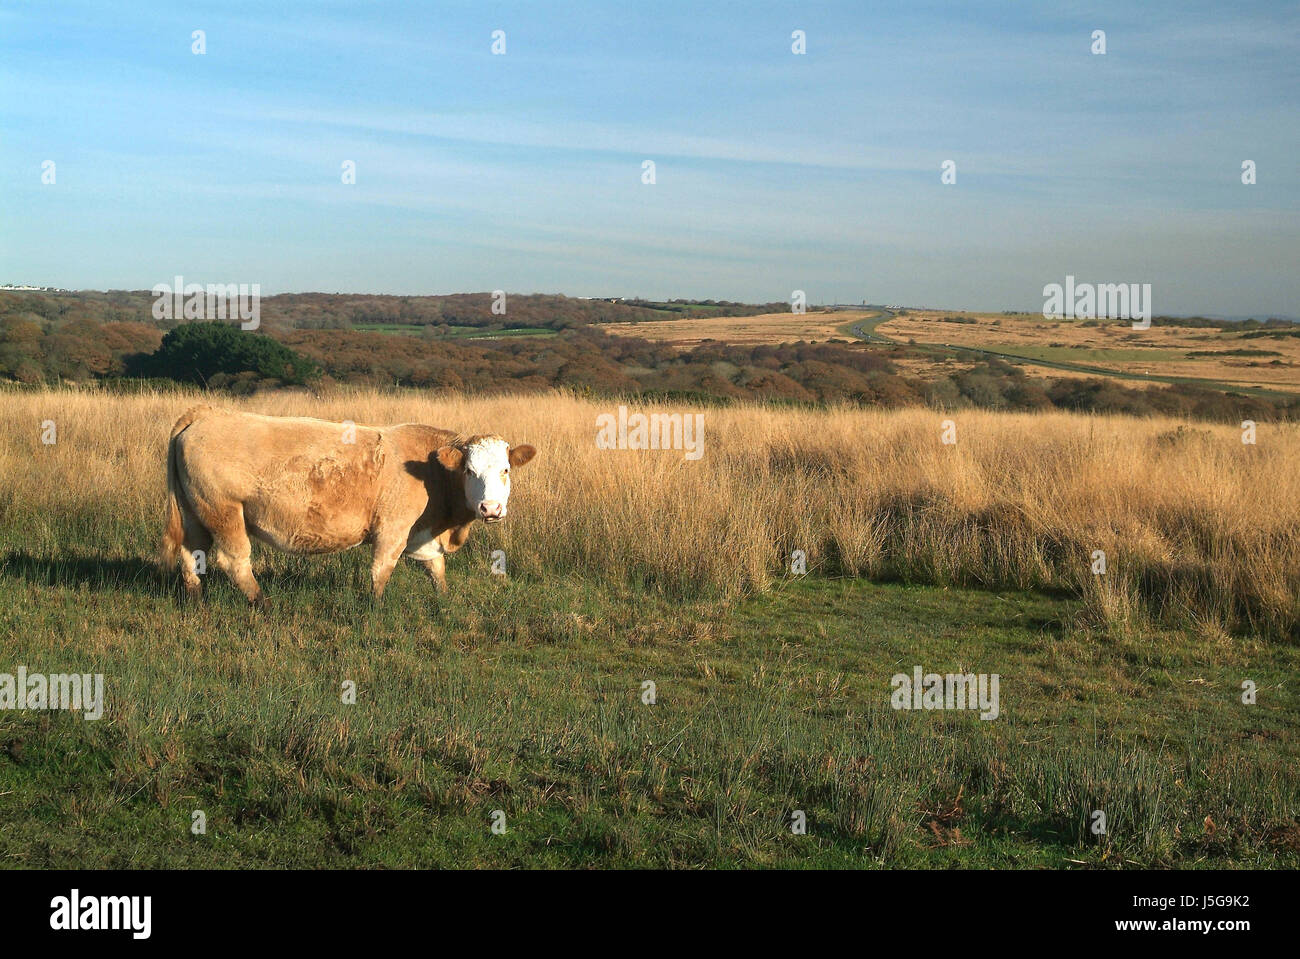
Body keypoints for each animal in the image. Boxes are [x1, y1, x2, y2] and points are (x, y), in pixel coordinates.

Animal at [160, 406, 537, 605]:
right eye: (470, 471)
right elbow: (382, 570)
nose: (491, 508)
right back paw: (261, 602)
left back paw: (195, 599)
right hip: (224, 512)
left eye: (505, 469)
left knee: (192, 555)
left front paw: (443, 599)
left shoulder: (423, 534)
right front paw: (376, 607)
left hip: (195, 513)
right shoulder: (393, 528)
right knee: (235, 561)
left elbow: (435, 568)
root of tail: (206, 414)